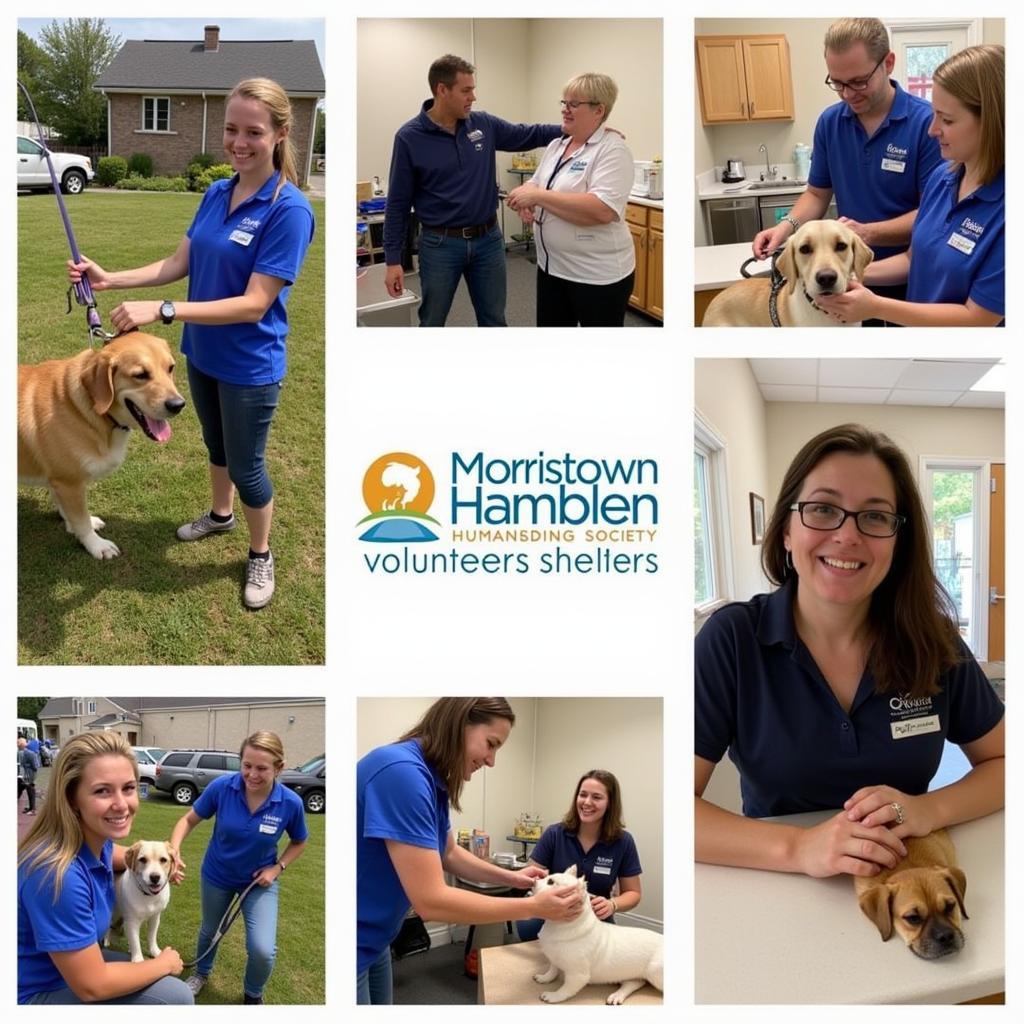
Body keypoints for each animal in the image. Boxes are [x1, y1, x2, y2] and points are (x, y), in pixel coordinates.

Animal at [18, 333, 186, 561]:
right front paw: (96, 545)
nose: (178, 405)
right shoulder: (69, 482)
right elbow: (80, 520)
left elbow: (69, 511)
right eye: (140, 375)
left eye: (170, 368)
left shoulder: (59, 479)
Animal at [528, 868, 663, 1003]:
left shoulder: (577, 975)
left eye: (550, 882)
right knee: (634, 983)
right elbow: (553, 969)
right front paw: (545, 977)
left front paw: (553, 996)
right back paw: (617, 996)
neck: (559, 926)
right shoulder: (554, 958)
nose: (534, 881)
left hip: (653, 972)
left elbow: (566, 989)